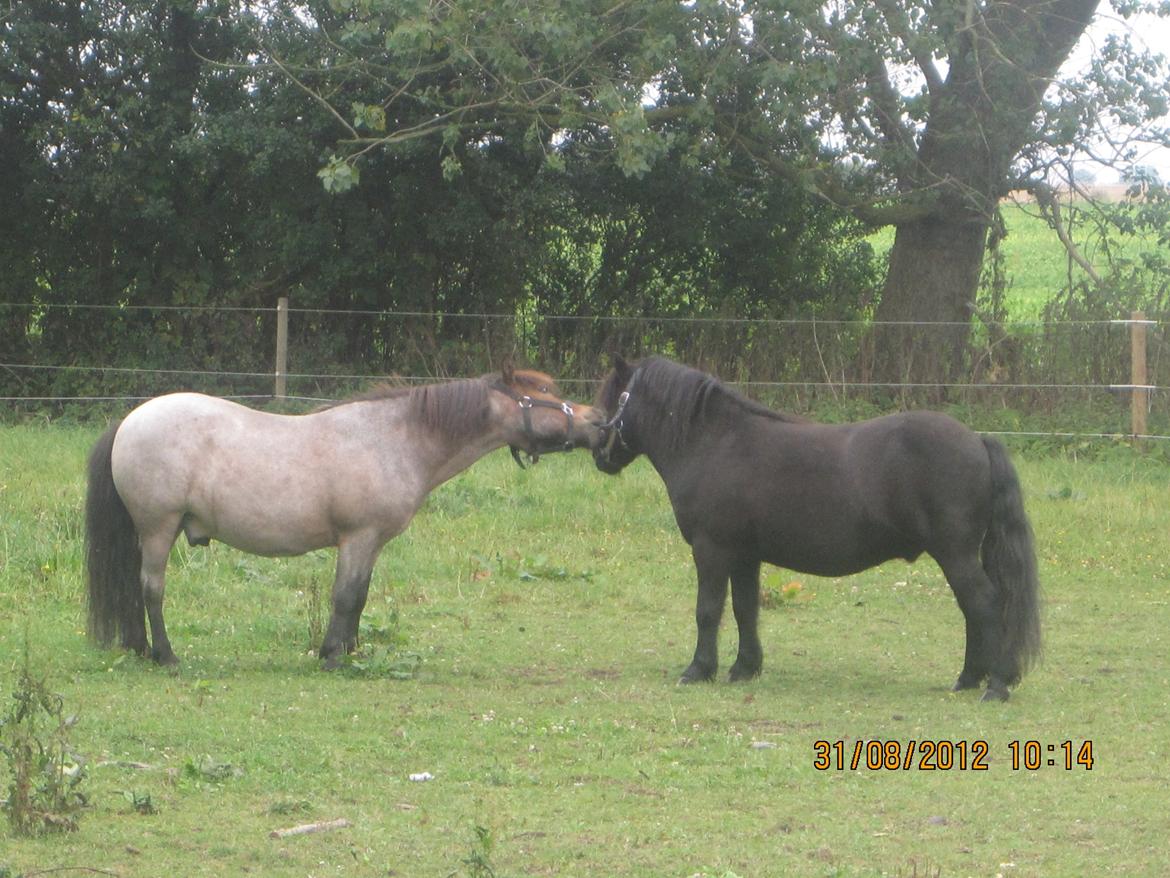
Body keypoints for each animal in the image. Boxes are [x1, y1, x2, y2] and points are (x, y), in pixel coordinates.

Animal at [85, 369, 599, 664]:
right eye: (545, 393)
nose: (598, 421)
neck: (394, 439)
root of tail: (130, 421)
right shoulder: (358, 537)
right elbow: (346, 597)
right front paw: (332, 655)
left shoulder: (370, 544)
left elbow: (361, 597)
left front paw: (351, 650)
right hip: (158, 529)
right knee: (151, 589)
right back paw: (165, 654)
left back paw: (138, 647)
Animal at [594, 353, 1043, 707]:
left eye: (608, 403)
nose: (599, 456)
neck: (716, 443)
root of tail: (978, 440)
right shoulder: (744, 555)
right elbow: (745, 609)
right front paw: (745, 667)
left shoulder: (712, 549)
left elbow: (708, 611)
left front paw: (698, 670)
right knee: (973, 608)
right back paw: (969, 679)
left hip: (956, 555)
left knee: (985, 604)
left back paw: (995, 685)